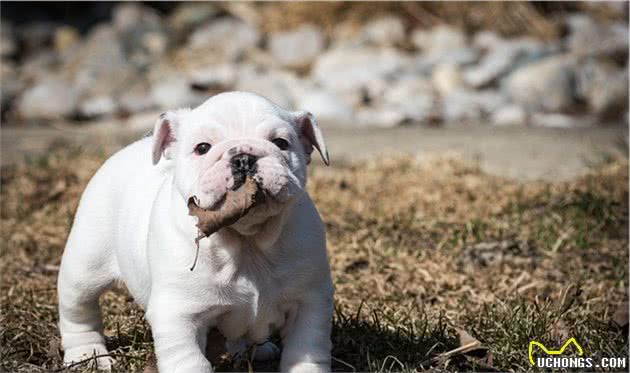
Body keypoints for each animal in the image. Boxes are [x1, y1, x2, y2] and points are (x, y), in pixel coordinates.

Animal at [55, 91, 336, 372]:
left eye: (281, 143)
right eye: (202, 148)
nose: (243, 158)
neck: (246, 240)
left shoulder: (309, 302)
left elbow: (306, 348)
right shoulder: (179, 314)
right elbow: (190, 360)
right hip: (85, 266)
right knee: (79, 309)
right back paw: (87, 355)